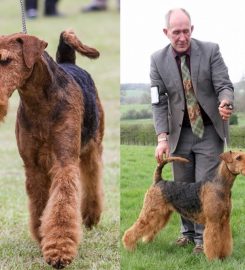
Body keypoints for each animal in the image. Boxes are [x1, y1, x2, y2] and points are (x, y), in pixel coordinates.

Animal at [0, 30, 104, 268]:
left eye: (5, 60)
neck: (39, 102)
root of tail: (69, 63)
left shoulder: (64, 161)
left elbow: (61, 207)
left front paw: (59, 251)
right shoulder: (33, 166)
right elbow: (40, 204)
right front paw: (42, 238)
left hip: (92, 146)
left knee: (92, 178)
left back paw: (90, 217)